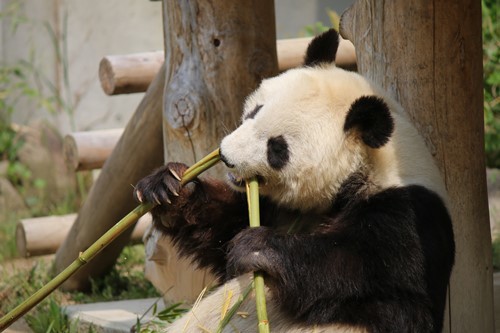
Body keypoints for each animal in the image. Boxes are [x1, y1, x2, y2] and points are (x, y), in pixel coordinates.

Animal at [135, 29, 456, 332]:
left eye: (277, 148)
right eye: (254, 111)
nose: (226, 156)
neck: (364, 169)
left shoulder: (405, 216)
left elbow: (370, 282)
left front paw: (258, 247)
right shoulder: (280, 209)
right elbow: (221, 232)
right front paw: (170, 188)